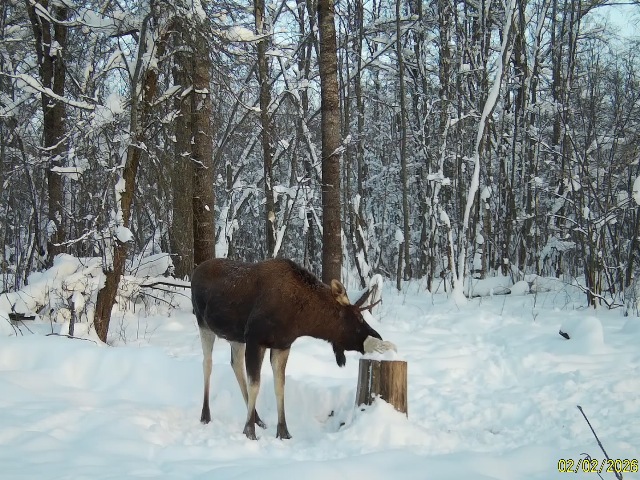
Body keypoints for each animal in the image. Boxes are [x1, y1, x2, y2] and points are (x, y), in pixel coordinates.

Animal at [191, 258, 396, 440]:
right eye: (358, 318)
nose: (379, 338)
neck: (300, 318)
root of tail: (196, 270)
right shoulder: (255, 339)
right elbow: (255, 384)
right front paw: (249, 431)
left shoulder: (282, 345)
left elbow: (279, 385)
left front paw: (283, 431)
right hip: (204, 324)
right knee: (207, 363)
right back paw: (206, 415)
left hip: (235, 337)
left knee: (236, 365)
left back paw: (258, 419)